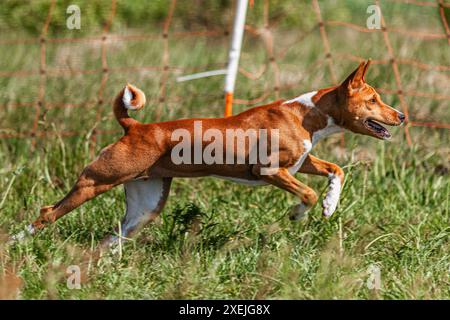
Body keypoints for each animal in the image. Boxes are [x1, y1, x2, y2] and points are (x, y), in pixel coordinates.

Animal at [14, 60, 406, 245]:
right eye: (373, 100)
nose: (401, 115)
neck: (306, 115)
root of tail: (135, 127)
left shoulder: (300, 162)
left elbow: (336, 170)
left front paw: (329, 205)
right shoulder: (269, 171)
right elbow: (306, 193)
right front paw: (298, 213)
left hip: (146, 204)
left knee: (114, 237)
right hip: (96, 181)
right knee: (48, 213)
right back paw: (17, 243)